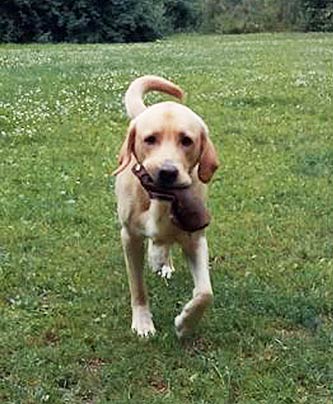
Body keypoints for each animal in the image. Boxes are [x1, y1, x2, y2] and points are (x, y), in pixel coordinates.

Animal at [113, 76, 219, 338]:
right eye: (150, 139)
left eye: (187, 141)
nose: (167, 172)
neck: (160, 201)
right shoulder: (129, 237)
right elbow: (138, 288)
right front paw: (143, 323)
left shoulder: (196, 238)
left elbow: (205, 293)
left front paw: (185, 323)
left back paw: (163, 260)